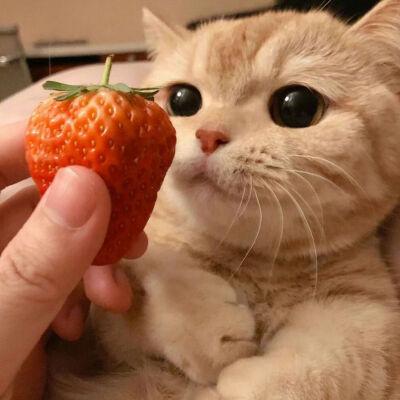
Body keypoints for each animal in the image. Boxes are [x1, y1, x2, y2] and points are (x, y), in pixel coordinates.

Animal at [47, 0, 400, 399]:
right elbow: (149, 271)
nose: (209, 135)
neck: (250, 262)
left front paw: (242, 382)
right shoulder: (104, 321)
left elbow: (342, 359)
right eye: (183, 99)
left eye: (297, 106)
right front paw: (206, 325)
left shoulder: (370, 312)